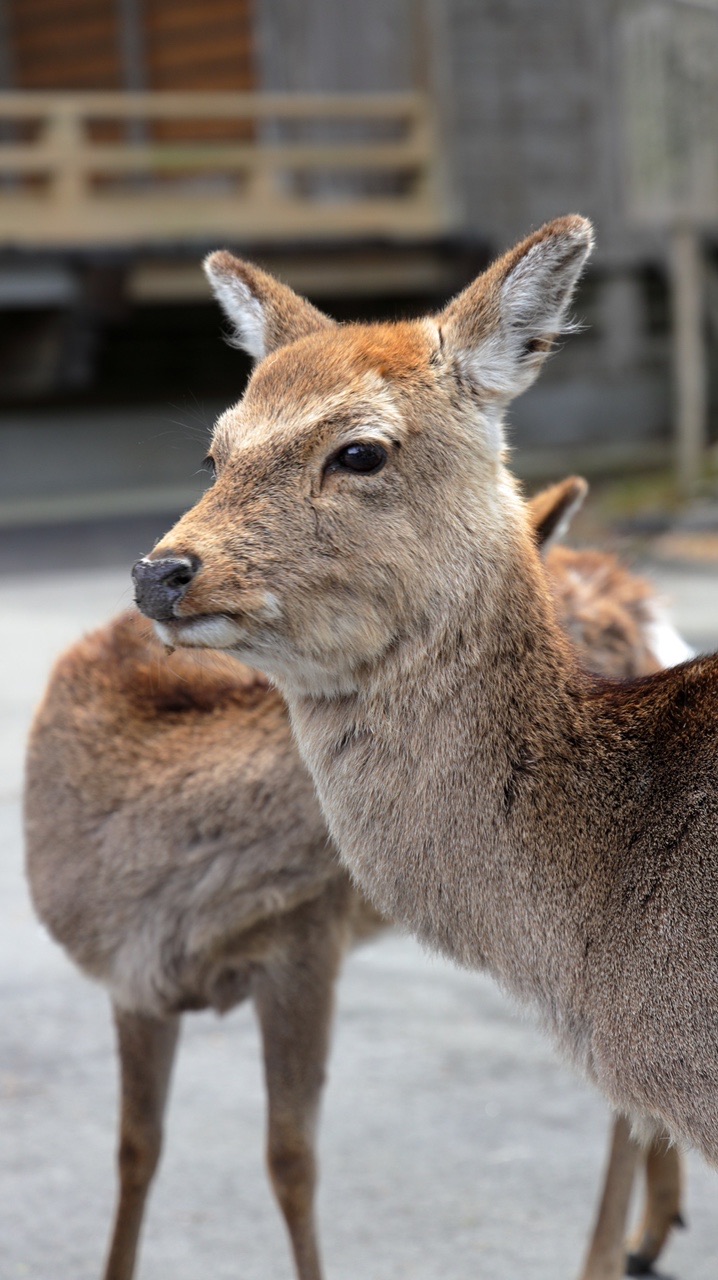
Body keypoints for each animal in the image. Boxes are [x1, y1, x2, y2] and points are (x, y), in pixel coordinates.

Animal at [25, 476, 688, 1280]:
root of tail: (639, 597)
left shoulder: (307, 945)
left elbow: (290, 1159)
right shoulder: (132, 980)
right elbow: (134, 1150)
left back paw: (606, 1254)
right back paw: (650, 1231)